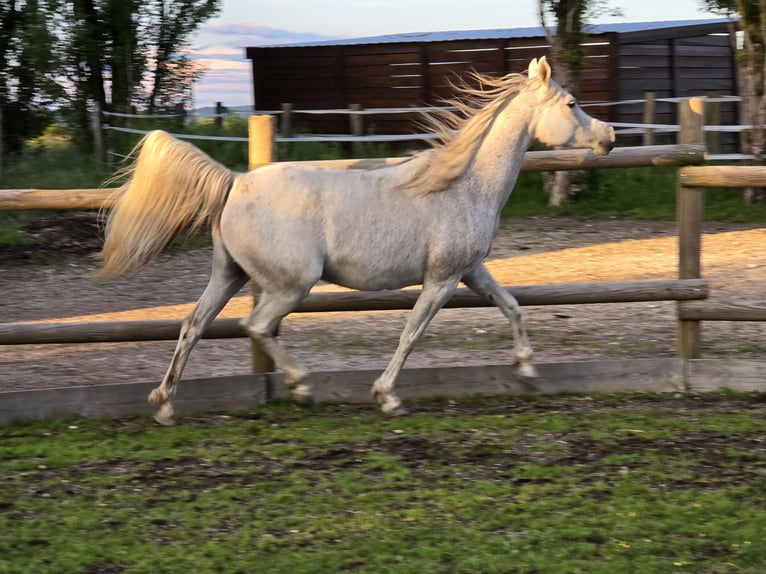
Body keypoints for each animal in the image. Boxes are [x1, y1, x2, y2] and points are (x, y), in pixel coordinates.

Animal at [98, 56, 615, 425]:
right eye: (571, 104)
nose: (608, 137)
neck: (463, 186)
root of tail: (236, 182)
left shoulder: (470, 271)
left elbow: (512, 306)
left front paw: (526, 368)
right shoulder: (442, 279)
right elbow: (411, 333)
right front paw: (387, 398)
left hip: (229, 275)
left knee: (193, 324)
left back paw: (165, 405)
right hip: (291, 284)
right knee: (257, 325)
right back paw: (301, 386)